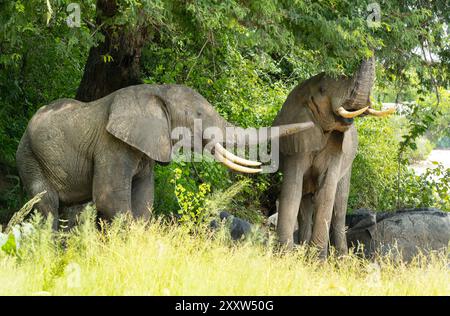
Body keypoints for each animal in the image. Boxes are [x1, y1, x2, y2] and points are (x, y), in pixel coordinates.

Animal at [14, 84, 312, 228]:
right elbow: (110, 199)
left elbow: (144, 198)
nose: (313, 122)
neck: (155, 91)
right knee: (47, 204)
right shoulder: (112, 144)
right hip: (28, 155)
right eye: (199, 115)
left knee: (70, 209)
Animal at [270, 55, 394, 258]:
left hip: (348, 166)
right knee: (305, 203)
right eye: (322, 91)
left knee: (339, 207)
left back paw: (341, 258)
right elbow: (292, 191)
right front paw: (286, 257)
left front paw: (316, 261)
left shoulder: (337, 149)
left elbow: (326, 194)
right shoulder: (295, 142)